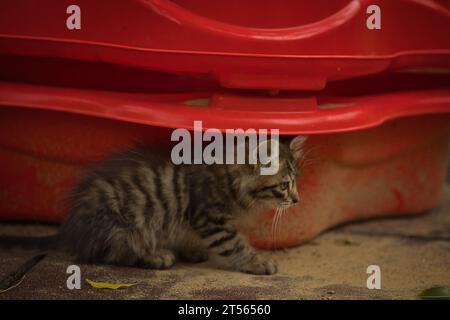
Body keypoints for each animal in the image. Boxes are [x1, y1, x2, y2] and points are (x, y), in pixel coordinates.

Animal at [59, 136, 306, 276]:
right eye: (284, 185)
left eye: (296, 182)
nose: (297, 200)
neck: (229, 179)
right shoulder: (211, 219)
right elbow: (234, 244)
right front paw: (256, 262)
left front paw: (192, 249)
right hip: (121, 226)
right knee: (115, 253)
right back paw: (155, 255)